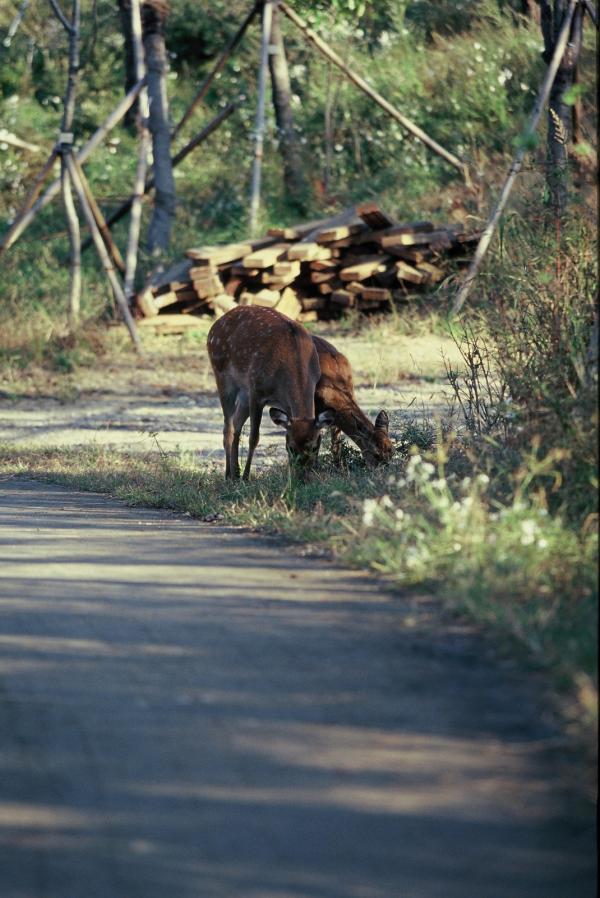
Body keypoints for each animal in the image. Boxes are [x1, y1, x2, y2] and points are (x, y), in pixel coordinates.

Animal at [209, 306, 336, 480]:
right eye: (290, 447)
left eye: (315, 447)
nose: (302, 477)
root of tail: (214, 326)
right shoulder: (257, 391)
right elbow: (254, 438)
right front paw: (246, 477)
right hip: (222, 375)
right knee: (228, 428)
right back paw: (229, 475)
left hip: (244, 392)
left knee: (236, 423)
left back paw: (235, 473)